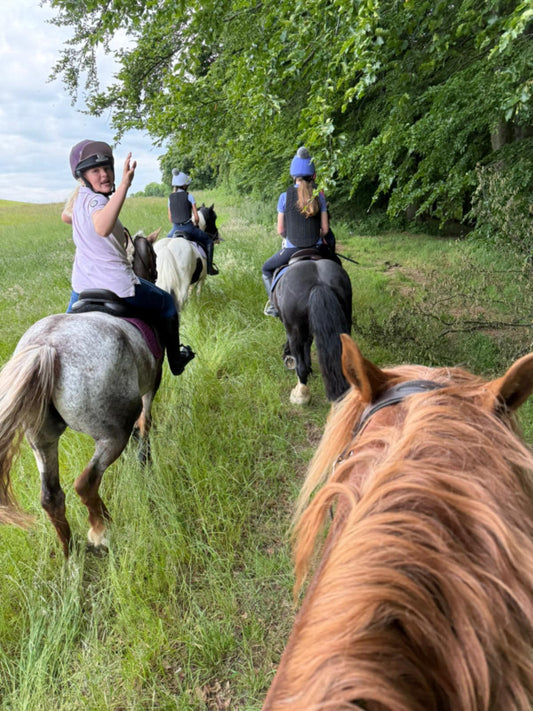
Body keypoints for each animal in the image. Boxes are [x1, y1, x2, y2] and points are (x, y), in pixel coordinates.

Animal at [0, 230, 164, 556]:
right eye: (152, 256)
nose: (153, 275)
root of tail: (48, 347)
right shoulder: (150, 387)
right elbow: (145, 423)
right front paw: (145, 460)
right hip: (110, 435)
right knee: (86, 483)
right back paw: (102, 531)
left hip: (42, 439)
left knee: (51, 497)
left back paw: (69, 552)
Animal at [271, 254, 352, 405]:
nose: (286, 359)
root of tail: (319, 283)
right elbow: (308, 344)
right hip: (345, 323)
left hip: (295, 331)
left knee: (300, 366)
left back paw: (300, 394)